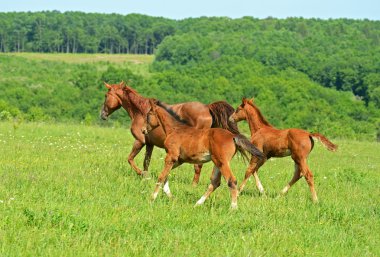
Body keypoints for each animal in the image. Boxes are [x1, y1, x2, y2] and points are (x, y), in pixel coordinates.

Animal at [99, 81, 239, 183]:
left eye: (106, 95)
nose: (102, 115)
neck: (141, 111)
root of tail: (207, 107)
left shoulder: (139, 141)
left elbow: (130, 159)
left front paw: (141, 174)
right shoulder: (149, 144)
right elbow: (146, 162)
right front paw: (146, 176)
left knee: (198, 166)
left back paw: (193, 185)